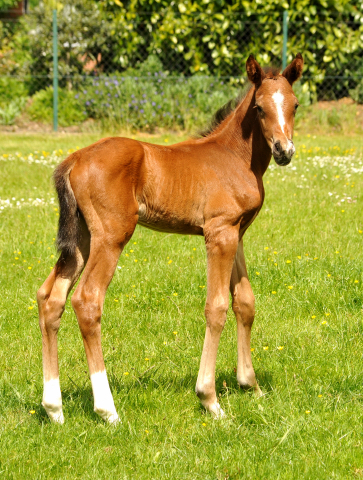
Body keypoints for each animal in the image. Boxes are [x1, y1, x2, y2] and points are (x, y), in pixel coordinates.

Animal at [37, 54, 304, 424]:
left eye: (294, 105)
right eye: (260, 108)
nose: (283, 150)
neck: (235, 156)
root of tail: (73, 159)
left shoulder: (236, 233)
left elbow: (245, 302)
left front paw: (251, 386)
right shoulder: (219, 234)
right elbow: (217, 307)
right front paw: (209, 399)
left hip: (80, 239)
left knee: (50, 298)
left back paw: (54, 408)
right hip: (111, 236)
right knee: (87, 300)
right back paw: (107, 410)